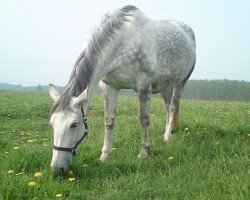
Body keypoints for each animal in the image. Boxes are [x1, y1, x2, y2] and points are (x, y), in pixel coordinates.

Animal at [48, 5, 195, 173]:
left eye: (74, 124)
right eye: (52, 123)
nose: (57, 168)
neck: (122, 44)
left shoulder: (144, 87)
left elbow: (144, 119)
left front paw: (144, 152)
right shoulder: (109, 87)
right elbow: (109, 121)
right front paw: (105, 155)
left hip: (180, 83)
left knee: (173, 107)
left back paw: (167, 136)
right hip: (165, 85)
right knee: (168, 105)